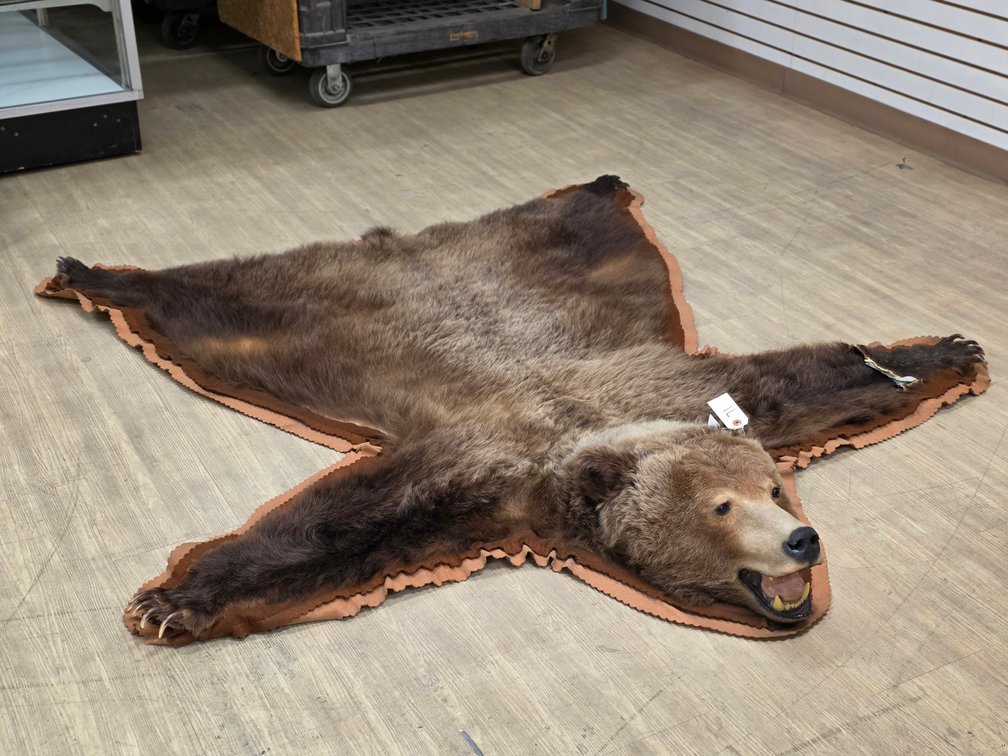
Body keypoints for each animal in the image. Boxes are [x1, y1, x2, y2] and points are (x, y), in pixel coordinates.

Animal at [45, 175, 986, 640]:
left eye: (776, 489)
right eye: (723, 508)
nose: (802, 539)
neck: (584, 439)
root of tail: (405, 245)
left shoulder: (693, 389)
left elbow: (814, 375)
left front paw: (943, 353)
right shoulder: (484, 463)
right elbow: (335, 522)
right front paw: (170, 601)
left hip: (558, 254)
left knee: (572, 212)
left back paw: (600, 180)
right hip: (288, 313)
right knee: (208, 297)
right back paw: (91, 272)